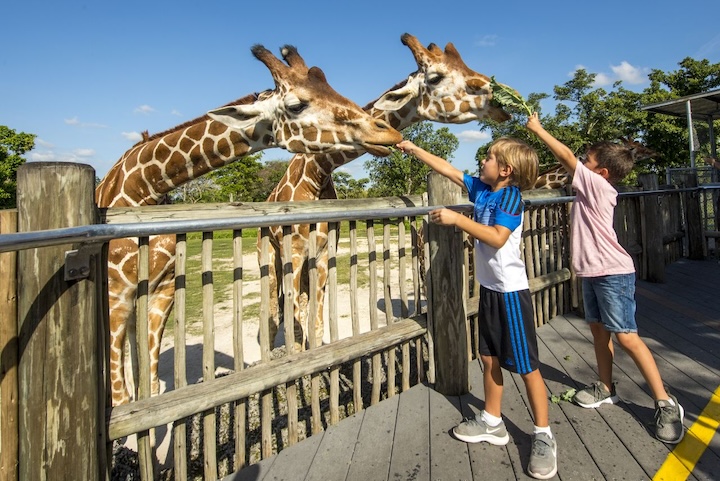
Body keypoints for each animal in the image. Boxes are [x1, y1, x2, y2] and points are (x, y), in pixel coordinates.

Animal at [96, 44, 402, 404]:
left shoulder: (163, 288)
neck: (142, 188)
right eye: (296, 104)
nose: (386, 131)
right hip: (263, 258)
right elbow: (123, 396)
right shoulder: (115, 296)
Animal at [264, 32, 512, 348]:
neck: (315, 176)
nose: (501, 99)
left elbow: (316, 328)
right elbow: (295, 333)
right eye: (435, 77)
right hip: (268, 255)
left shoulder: (321, 255)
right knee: (274, 315)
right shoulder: (293, 254)